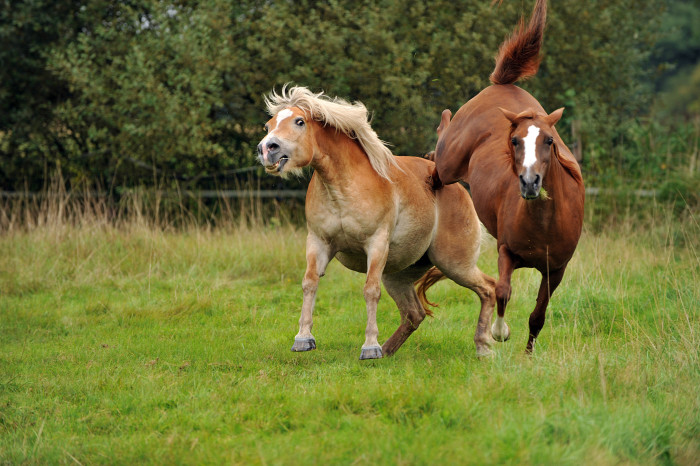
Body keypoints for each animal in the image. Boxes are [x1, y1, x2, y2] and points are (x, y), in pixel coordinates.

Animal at [258, 85, 498, 358]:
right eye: (268, 126)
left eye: (299, 122)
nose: (267, 149)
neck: (342, 188)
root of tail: (455, 187)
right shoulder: (318, 242)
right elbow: (309, 283)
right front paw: (303, 339)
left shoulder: (376, 244)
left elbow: (370, 290)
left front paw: (370, 346)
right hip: (398, 275)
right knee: (414, 314)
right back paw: (388, 351)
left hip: (455, 263)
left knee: (489, 288)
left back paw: (484, 346)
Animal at [430, 0, 584, 352]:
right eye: (514, 140)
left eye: (549, 141)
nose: (529, 183)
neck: (544, 222)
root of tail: (503, 84)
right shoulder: (507, 252)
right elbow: (502, 291)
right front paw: (498, 332)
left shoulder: (555, 270)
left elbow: (538, 315)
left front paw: (528, 354)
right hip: (449, 162)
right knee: (438, 149)